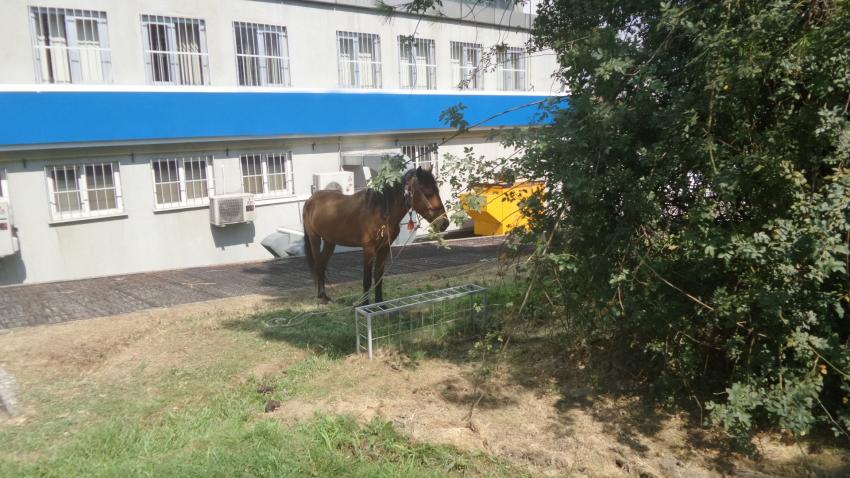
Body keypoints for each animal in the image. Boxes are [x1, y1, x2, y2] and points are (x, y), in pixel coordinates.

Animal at [302, 166, 448, 304]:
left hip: (330, 241)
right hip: (314, 238)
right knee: (318, 264)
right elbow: (367, 279)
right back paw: (322, 297)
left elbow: (378, 277)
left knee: (323, 264)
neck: (381, 211)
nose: (444, 223)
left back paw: (325, 296)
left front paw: (379, 303)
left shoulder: (384, 248)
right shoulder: (368, 249)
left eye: (437, 190)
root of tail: (310, 200)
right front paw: (365, 304)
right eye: (428, 193)